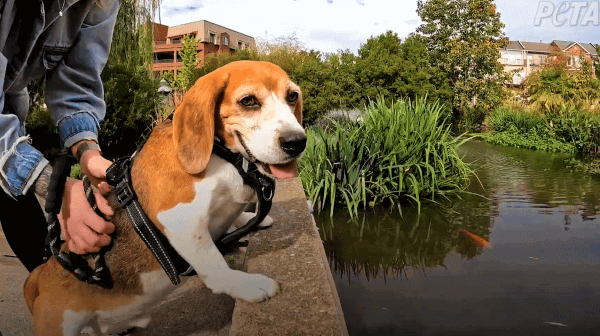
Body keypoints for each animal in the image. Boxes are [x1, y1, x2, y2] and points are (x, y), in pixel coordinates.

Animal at [22, 61, 308, 336]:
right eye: (248, 101)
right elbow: (216, 268)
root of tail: (41, 275)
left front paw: (249, 217)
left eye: (292, 96)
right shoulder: (179, 220)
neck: (221, 154)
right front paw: (246, 285)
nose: (297, 142)